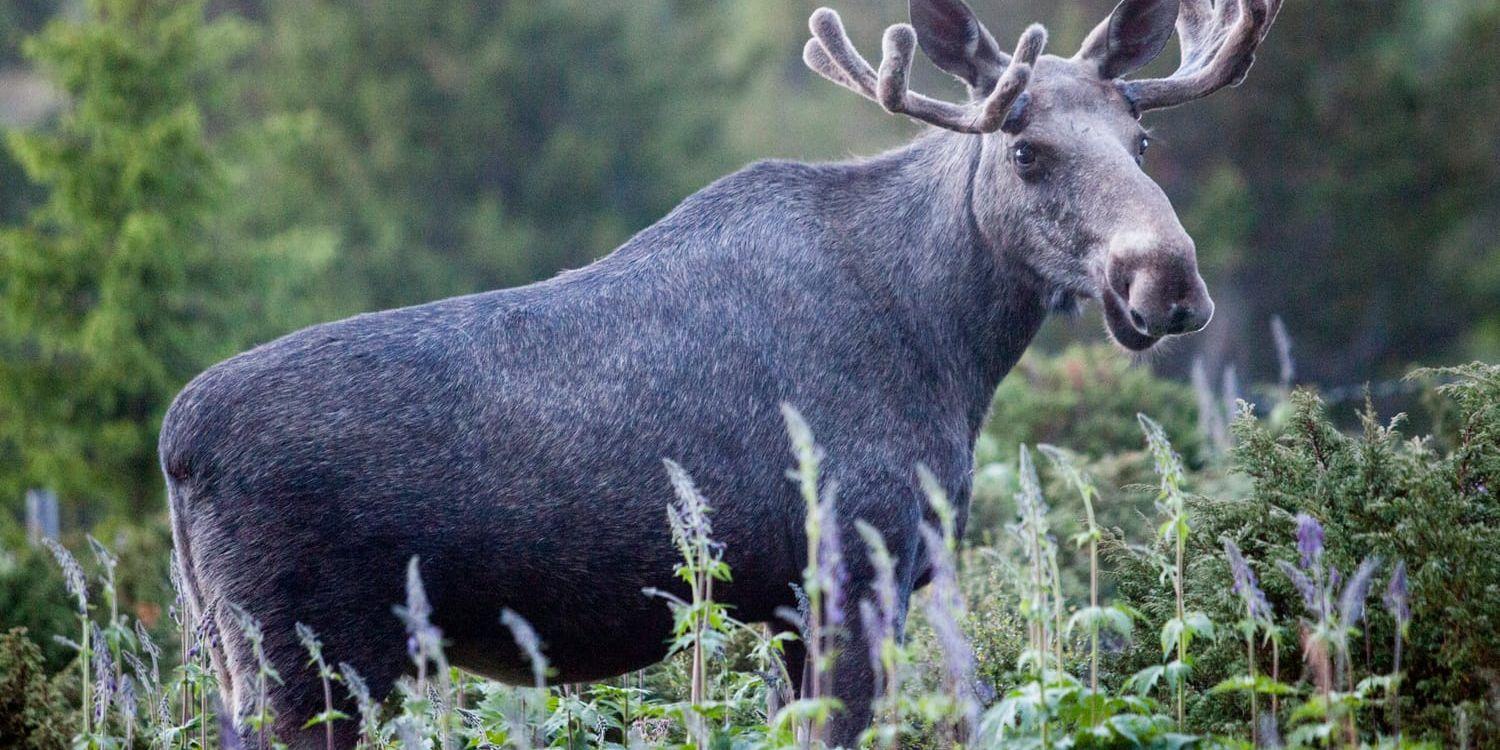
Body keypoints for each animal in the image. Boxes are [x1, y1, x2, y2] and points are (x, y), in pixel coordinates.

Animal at [164, 0, 1290, 744]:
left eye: (1142, 138)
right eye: (1025, 151)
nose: (1166, 279)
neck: (951, 347)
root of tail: (176, 450)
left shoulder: (795, 602)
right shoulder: (850, 568)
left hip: (239, 658)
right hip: (305, 665)